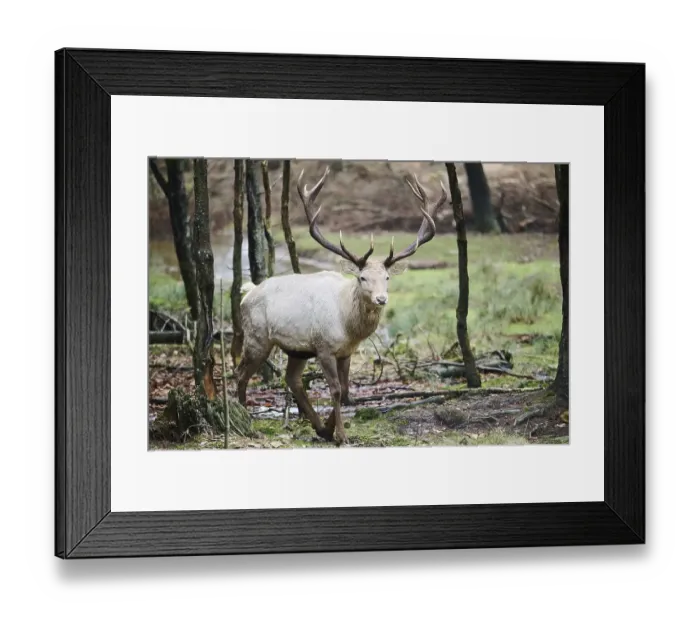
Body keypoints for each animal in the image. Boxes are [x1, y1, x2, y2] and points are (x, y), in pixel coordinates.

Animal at [231, 165, 447, 445]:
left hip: (297, 349)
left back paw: (318, 427)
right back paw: (245, 419)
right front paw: (341, 435)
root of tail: (247, 294)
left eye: (387, 278)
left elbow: (345, 391)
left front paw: (330, 428)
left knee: (292, 379)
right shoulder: (324, 346)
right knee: (241, 373)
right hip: (257, 336)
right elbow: (334, 390)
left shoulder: (346, 351)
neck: (348, 326)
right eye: (362, 277)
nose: (381, 299)